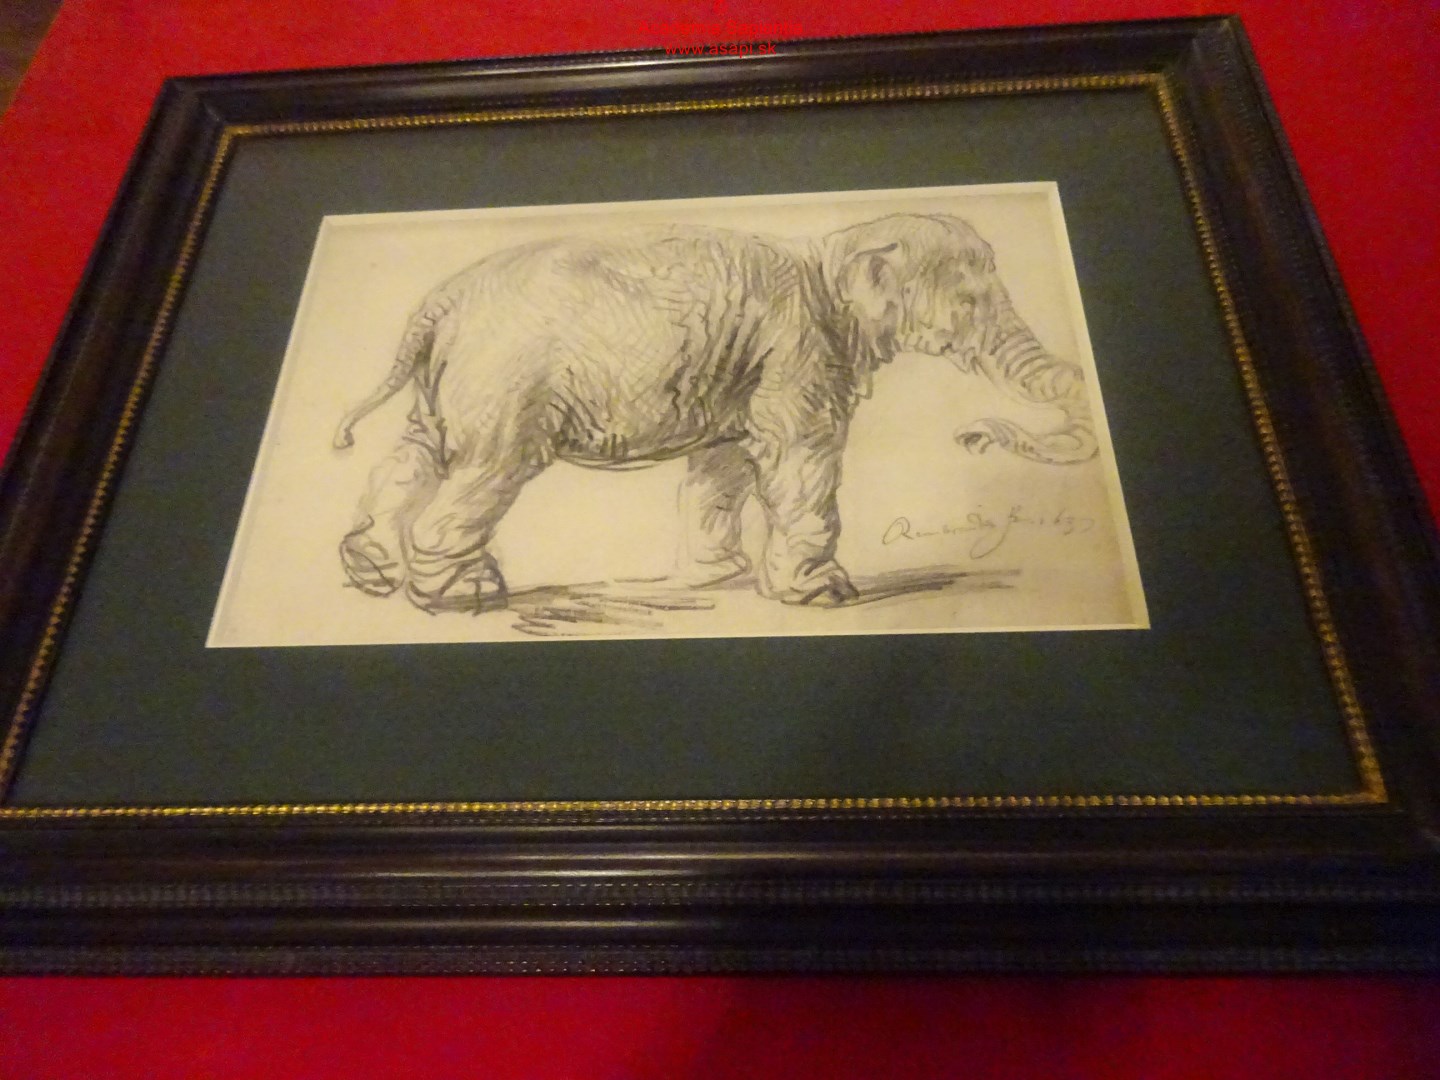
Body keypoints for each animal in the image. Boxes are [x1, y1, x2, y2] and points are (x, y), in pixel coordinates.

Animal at [333, 213, 1097, 614]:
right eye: (970, 301)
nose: (970, 436)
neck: (836, 246)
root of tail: (437, 305)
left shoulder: (742, 361)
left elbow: (725, 462)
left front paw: (716, 579)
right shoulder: (798, 346)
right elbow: (799, 453)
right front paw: (825, 595)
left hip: (443, 387)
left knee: (412, 459)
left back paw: (371, 573)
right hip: (504, 384)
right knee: (486, 471)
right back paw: (463, 595)